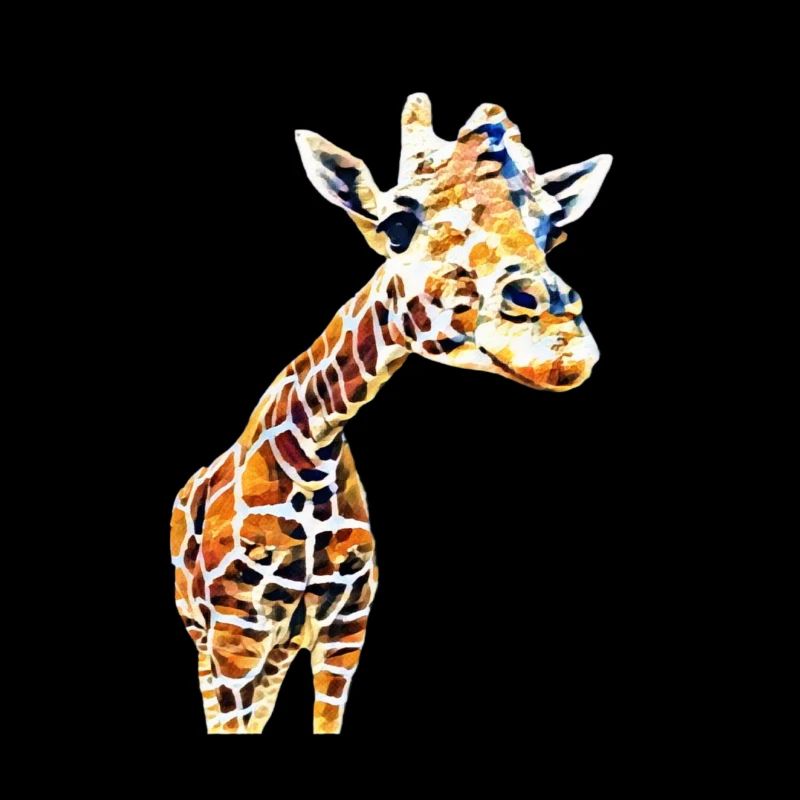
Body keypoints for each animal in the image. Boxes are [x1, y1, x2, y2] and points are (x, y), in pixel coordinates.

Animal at [171, 93, 611, 734]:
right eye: (396, 226)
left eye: (554, 230)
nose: (559, 344)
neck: (312, 456)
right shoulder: (236, 635)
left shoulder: (344, 632)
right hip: (202, 638)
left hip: (275, 649)